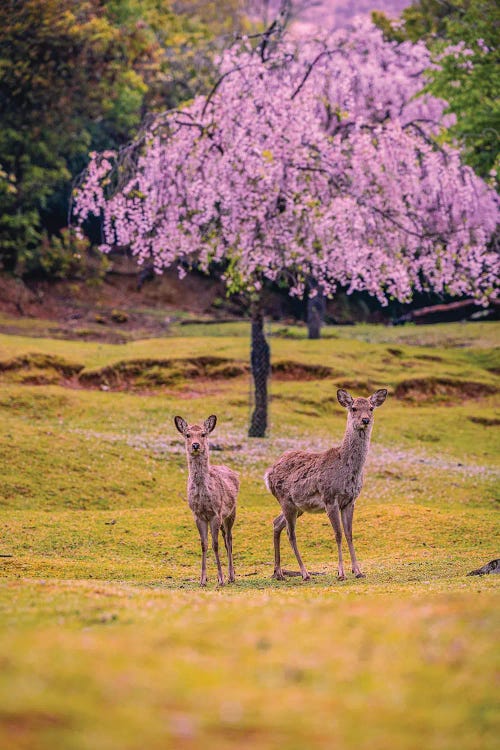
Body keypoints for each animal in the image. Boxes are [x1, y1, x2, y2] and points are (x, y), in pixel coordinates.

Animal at [175, 418, 239, 588]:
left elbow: (215, 544)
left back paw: (231, 576)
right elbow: (204, 544)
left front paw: (221, 579)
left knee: (229, 539)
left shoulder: (216, 513)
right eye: (187, 434)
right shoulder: (198, 515)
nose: (195, 445)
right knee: (225, 538)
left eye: (203, 434)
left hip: (231, 512)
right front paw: (202, 580)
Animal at [264, 390, 388, 584]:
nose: (365, 420)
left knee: (277, 523)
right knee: (291, 533)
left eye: (371, 408)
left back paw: (278, 573)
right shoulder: (330, 498)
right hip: (285, 500)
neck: (349, 468)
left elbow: (349, 534)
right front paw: (341, 573)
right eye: (353, 408)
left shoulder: (350, 501)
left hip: (298, 507)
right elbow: (338, 534)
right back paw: (305, 573)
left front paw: (358, 571)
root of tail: (268, 474)